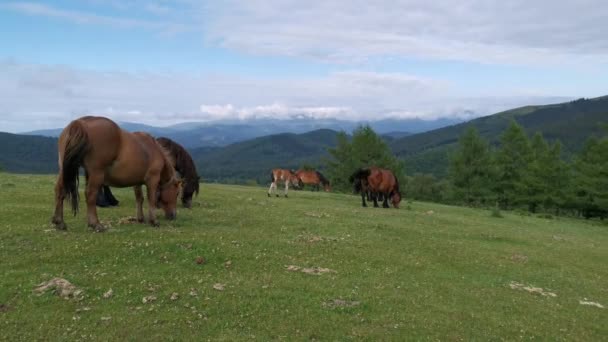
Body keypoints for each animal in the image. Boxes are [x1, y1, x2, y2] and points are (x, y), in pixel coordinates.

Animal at [52, 116, 182, 231]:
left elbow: (139, 198)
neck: (153, 148)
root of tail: (80, 123)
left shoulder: (137, 182)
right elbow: (151, 199)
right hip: (97, 174)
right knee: (90, 195)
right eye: (176, 194)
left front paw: (140, 218)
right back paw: (95, 224)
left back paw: (59, 222)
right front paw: (154, 221)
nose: (173, 216)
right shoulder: (152, 179)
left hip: (64, 171)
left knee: (60, 191)